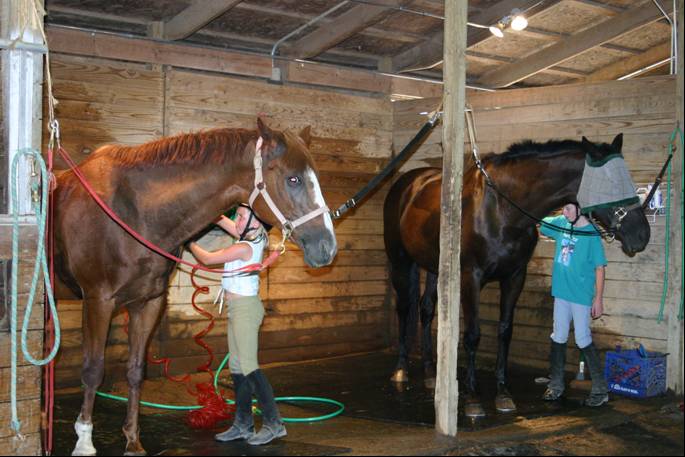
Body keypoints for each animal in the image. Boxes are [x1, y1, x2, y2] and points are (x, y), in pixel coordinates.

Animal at [54, 118, 338, 456]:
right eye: (293, 179)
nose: (327, 247)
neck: (133, 211)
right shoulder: (98, 300)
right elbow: (93, 370)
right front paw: (84, 442)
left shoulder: (148, 303)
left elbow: (136, 371)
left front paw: (133, 441)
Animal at [382, 133, 648, 416]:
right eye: (610, 182)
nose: (642, 235)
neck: (501, 210)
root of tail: (409, 182)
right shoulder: (470, 278)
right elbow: (473, 334)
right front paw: (473, 397)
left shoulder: (514, 277)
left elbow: (505, 331)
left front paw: (503, 392)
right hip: (400, 262)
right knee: (404, 308)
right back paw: (401, 370)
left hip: (434, 268)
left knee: (426, 309)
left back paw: (431, 372)